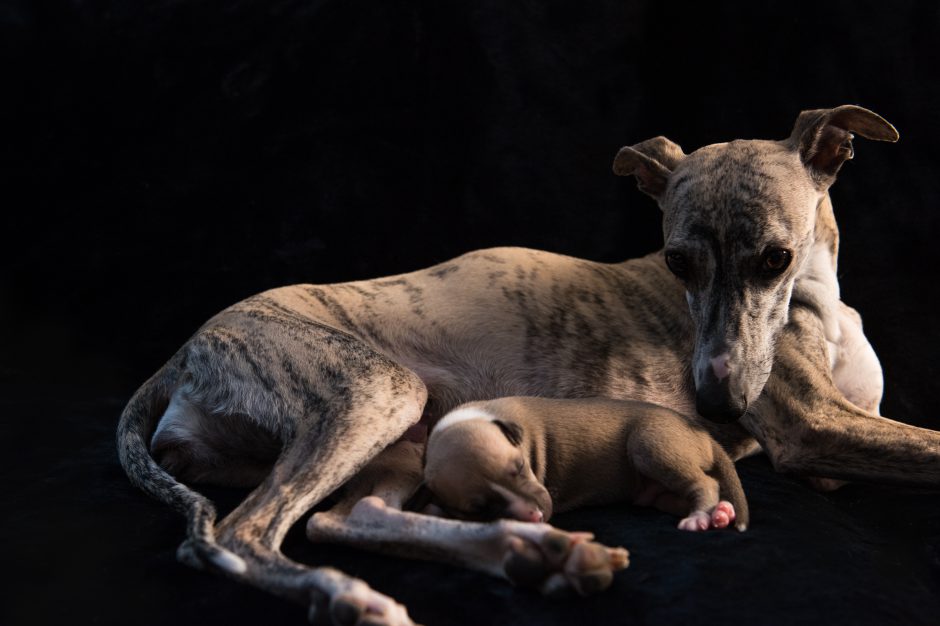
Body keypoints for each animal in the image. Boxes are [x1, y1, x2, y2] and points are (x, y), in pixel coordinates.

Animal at [426, 398, 748, 528]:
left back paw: (700, 518)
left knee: (705, 483)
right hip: (656, 491)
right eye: (480, 509)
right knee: (678, 496)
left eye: (519, 467)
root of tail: (703, 433)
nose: (536, 516)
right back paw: (722, 513)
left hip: (653, 445)